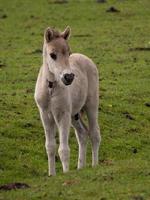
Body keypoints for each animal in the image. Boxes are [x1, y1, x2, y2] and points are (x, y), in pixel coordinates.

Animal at [34, 26, 101, 175]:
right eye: (52, 54)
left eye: (68, 53)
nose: (69, 77)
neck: (51, 89)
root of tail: (85, 58)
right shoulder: (45, 116)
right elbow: (50, 147)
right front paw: (52, 175)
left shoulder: (62, 115)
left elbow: (63, 149)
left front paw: (65, 173)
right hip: (74, 114)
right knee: (82, 134)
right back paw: (80, 167)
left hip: (91, 105)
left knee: (94, 133)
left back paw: (95, 165)